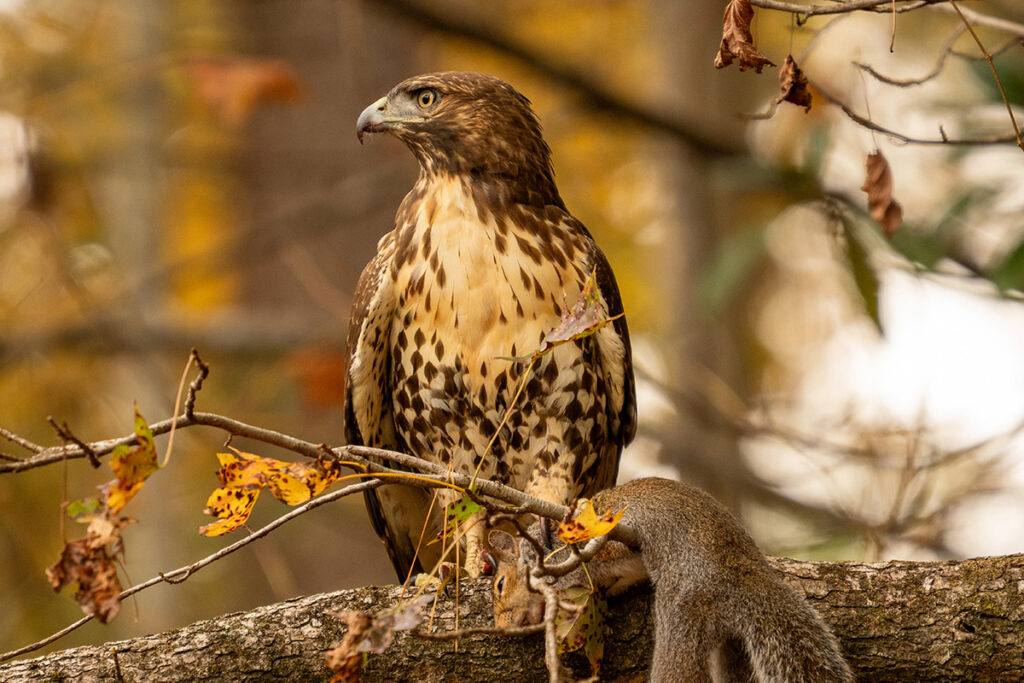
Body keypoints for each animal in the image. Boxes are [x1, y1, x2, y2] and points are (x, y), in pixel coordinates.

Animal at [487, 477, 854, 683]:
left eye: (500, 585)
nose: (501, 629)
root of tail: (742, 573)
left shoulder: (593, 546)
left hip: (683, 613)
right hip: (733, 647)